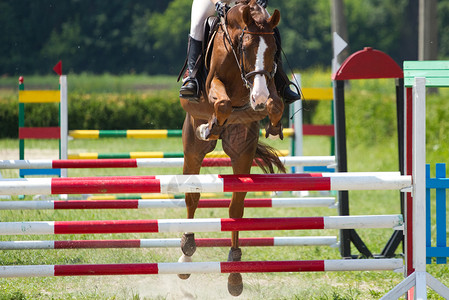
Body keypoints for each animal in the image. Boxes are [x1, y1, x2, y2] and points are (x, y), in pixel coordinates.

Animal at [178, 0, 284, 296]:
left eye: (274, 51)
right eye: (245, 48)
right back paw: (186, 255)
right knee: (192, 197)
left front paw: (274, 124)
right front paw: (211, 124)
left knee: (236, 208)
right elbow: (223, 103)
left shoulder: (270, 83)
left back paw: (235, 274)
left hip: (242, 152)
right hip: (192, 149)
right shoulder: (214, 84)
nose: (257, 98)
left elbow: (277, 104)